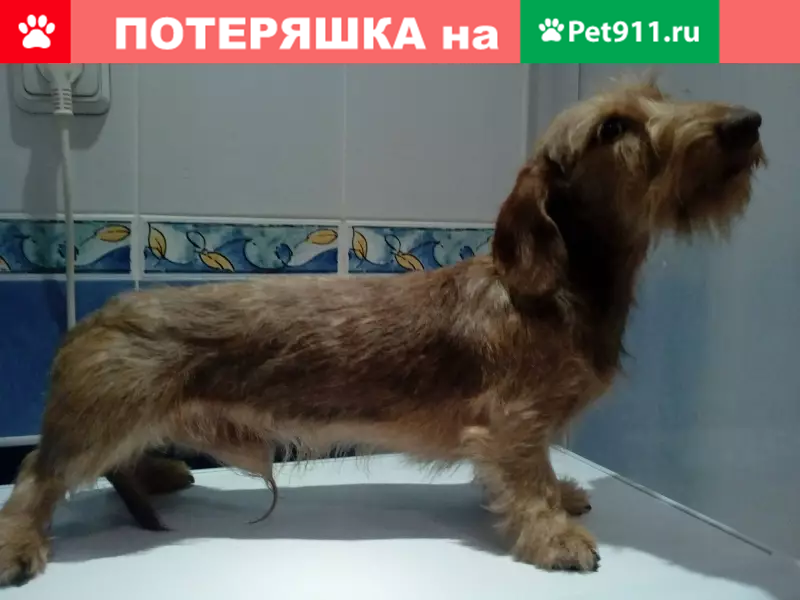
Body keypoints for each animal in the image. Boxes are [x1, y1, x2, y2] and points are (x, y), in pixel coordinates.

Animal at [0, 78, 765, 585]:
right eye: (613, 128)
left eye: (660, 93)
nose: (749, 122)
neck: (562, 286)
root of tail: (92, 319)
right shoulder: (514, 421)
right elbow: (528, 476)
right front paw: (555, 533)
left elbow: (535, 471)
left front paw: (564, 495)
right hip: (100, 421)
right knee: (37, 476)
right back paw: (18, 546)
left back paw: (158, 472)